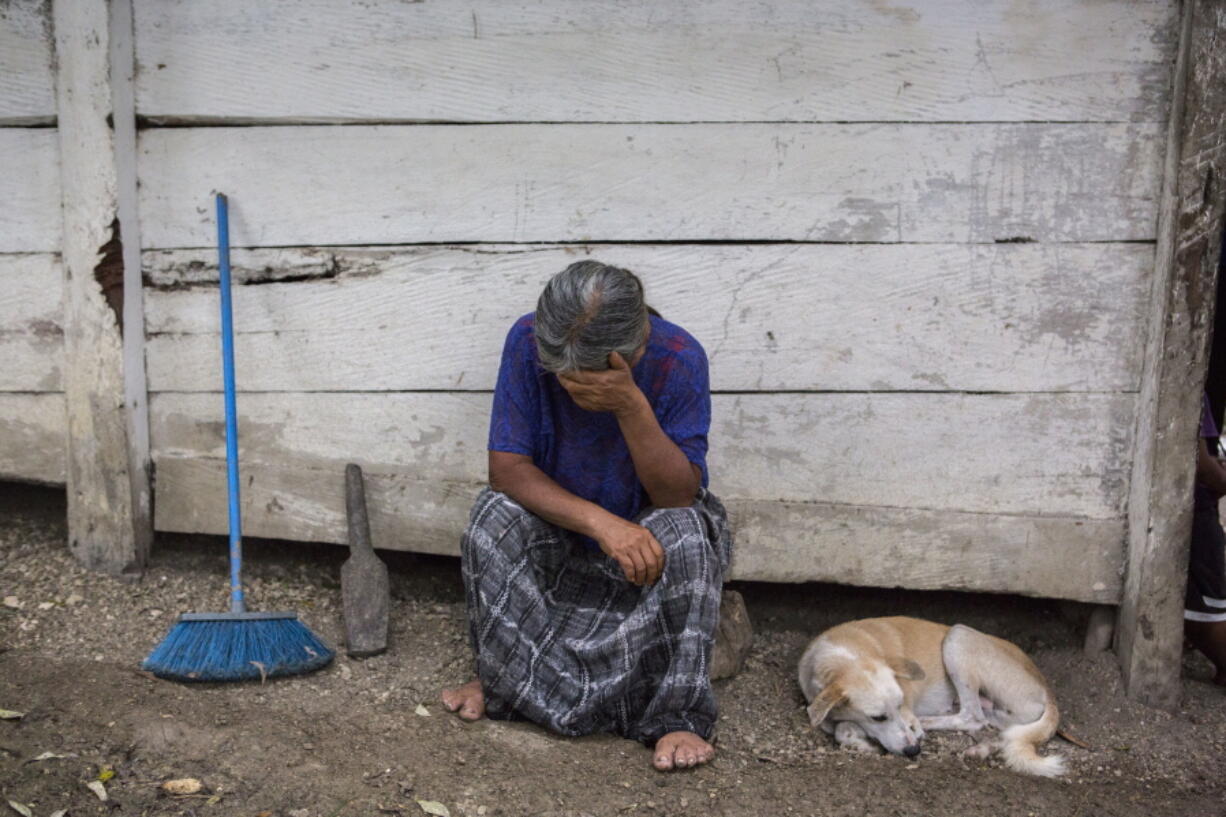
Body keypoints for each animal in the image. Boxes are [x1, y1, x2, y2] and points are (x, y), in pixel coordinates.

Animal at [794, 613, 1064, 775]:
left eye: (900, 703)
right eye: (877, 717)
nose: (914, 751)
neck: (845, 655)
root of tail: (1047, 689)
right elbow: (840, 728)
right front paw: (859, 739)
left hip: (957, 636)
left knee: (972, 717)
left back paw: (927, 722)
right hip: (1001, 714)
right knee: (998, 731)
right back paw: (979, 750)